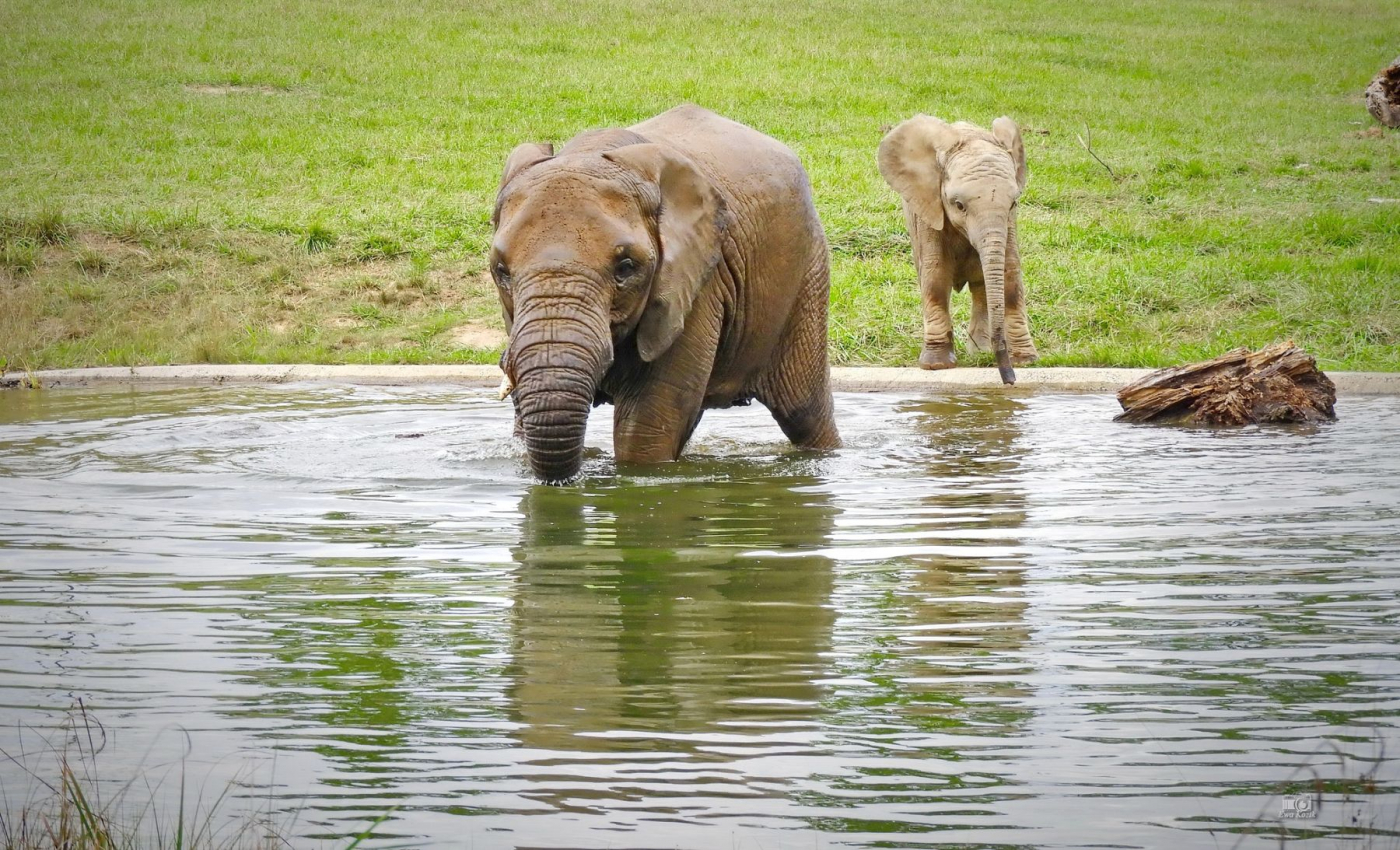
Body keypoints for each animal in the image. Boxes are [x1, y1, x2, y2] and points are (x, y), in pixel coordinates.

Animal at [495, 102, 840, 481]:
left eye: (625, 267)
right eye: (501, 271)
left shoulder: (699, 282)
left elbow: (645, 423)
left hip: (807, 272)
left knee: (805, 412)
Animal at [879, 114, 1036, 383]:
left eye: (1014, 202)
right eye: (959, 205)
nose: (1009, 379)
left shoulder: (1009, 221)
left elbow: (1010, 273)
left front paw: (1026, 361)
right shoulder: (928, 207)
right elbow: (936, 275)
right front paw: (936, 365)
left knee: (981, 285)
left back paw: (980, 352)